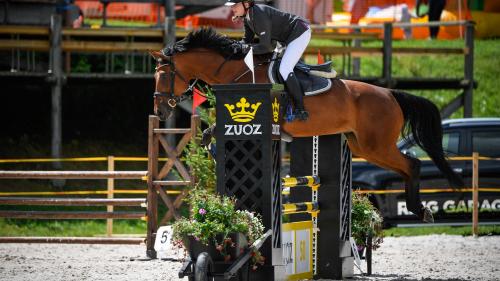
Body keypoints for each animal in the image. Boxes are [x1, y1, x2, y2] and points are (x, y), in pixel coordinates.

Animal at [150, 27, 462, 222]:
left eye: (162, 76)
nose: (160, 110)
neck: (237, 72)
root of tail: (390, 93)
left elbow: (211, 132)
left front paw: (215, 152)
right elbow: (208, 133)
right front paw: (215, 154)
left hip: (377, 146)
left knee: (413, 164)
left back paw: (421, 211)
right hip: (364, 146)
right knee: (407, 167)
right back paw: (419, 210)